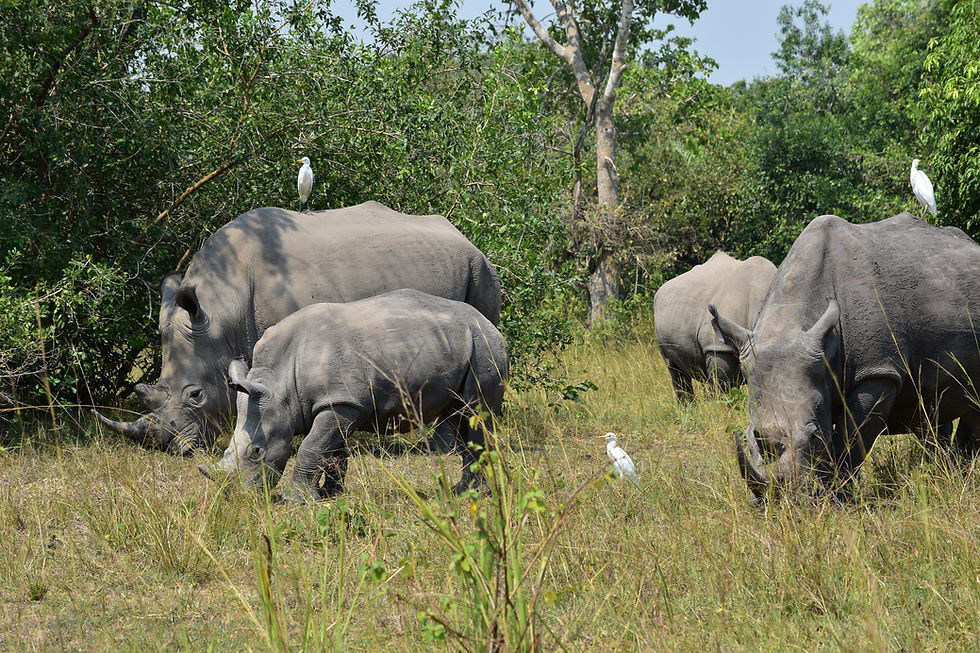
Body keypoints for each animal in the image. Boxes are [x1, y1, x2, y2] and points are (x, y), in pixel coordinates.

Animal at [94, 202, 501, 455]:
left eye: (196, 395)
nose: (174, 450)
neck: (224, 314)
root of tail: (463, 235)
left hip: (479, 268)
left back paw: (441, 449)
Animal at [201, 289, 508, 501]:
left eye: (256, 452)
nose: (240, 496)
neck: (278, 384)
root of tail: (491, 325)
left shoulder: (340, 402)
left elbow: (311, 447)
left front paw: (295, 500)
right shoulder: (339, 404)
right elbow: (332, 451)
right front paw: (330, 495)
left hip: (484, 348)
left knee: (475, 413)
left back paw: (474, 494)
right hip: (459, 345)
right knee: (459, 417)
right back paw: (461, 491)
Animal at [710, 213, 980, 500]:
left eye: (814, 436)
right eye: (748, 436)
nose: (778, 499)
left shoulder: (877, 372)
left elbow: (851, 441)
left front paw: (834, 498)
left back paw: (961, 473)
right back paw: (947, 470)